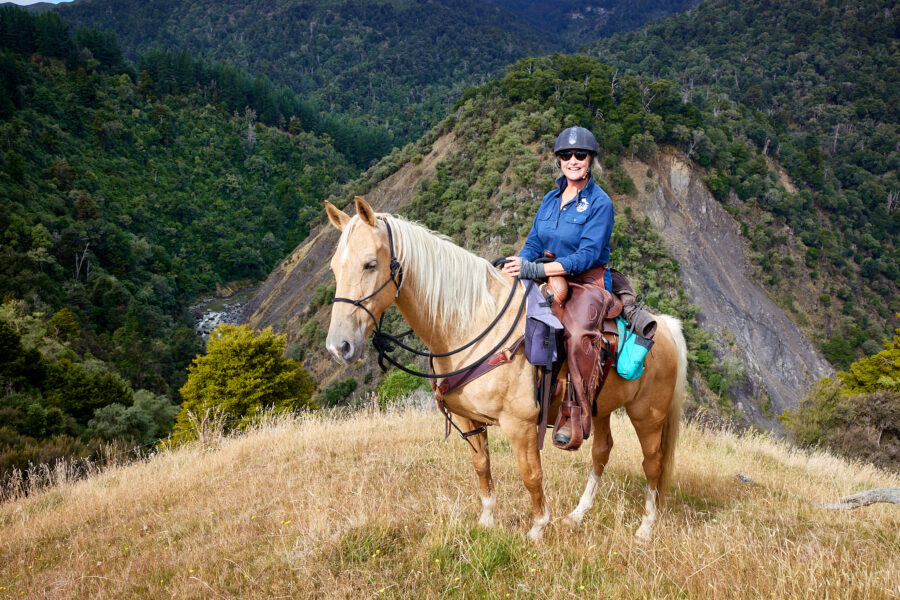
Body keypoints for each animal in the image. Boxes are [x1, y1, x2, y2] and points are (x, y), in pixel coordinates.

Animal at [324, 197, 687, 541]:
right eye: (334, 268)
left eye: (370, 264)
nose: (339, 346)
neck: (473, 324)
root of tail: (666, 328)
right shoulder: (468, 420)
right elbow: (482, 467)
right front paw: (487, 520)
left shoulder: (521, 425)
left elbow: (531, 475)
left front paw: (538, 527)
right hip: (598, 407)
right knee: (601, 452)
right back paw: (577, 515)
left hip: (647, 415)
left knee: (652, 463)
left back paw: (645, 528)